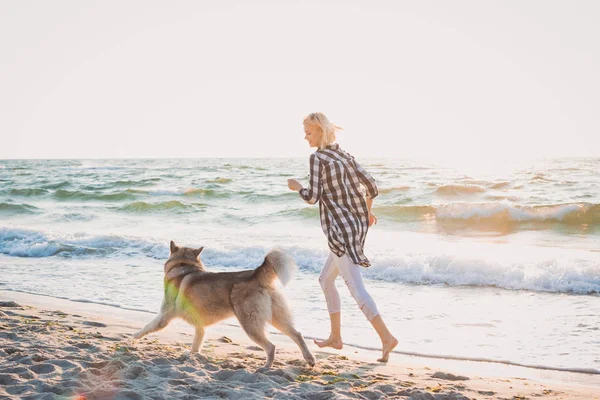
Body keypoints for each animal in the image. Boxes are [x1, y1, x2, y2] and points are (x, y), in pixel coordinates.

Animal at [134, 239, 316, 370]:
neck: (184, 267)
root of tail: (255, 275)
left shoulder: (165, 315)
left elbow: (148, 326)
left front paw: (135, 336)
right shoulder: (200, 327)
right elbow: (196, 344)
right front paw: (192, 357)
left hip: (250, 324)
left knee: (271, 346)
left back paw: (265, 367)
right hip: (277, 318)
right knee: (297, 335)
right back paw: (309, 359)